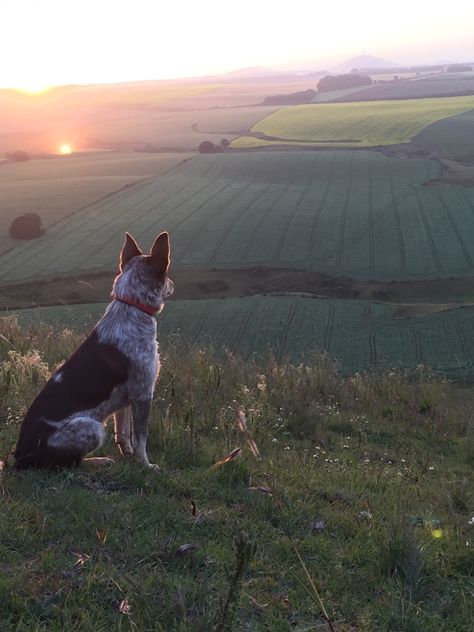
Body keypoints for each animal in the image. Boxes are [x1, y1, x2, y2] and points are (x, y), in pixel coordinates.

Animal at [13, 232, 174, 470]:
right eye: (167, 274)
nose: (173, 284)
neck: (132, 306)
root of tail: (19, 458)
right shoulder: (144, 394)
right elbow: (141, 438)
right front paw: (146, 465)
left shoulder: (127, 399)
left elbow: (124, 433)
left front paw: (128, 456)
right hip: (92, 428)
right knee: (70, 463)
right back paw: (99, 461)